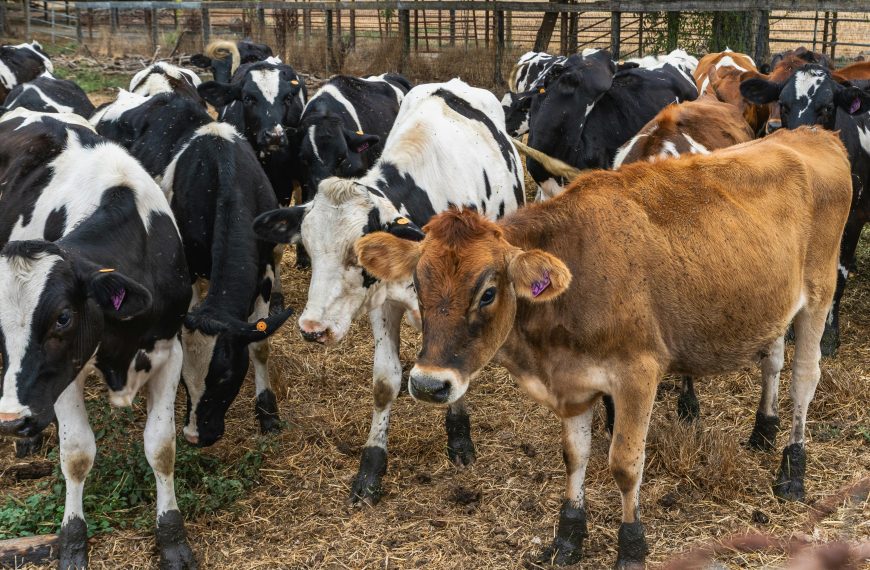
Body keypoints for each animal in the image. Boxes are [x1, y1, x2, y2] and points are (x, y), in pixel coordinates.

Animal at [0, 109, 197, 569]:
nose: (10, 419)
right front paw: (73, 539)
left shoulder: (169, 351)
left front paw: (172, 537)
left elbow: (161, 447)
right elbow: (76, 455)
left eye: (63, 318)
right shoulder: (67, 372)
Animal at [91, 90, 294, 447]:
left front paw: (267, 412)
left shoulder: (267, 266)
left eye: (225, 377)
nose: (195, 435)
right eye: (185, 380)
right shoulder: (193, 268)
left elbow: (260, 344)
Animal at [253, 78, 525, 506]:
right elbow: (385, 382)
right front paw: (371, 467)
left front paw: (459, 437)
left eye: (361, 254)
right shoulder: (383, 304)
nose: (313, 329)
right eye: (308, 247)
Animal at [354, 126, 852, 567]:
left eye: (488, 292)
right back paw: (763, 432)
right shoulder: (574, 381)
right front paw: (568, 535)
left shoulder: (638, 374)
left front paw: (632, 546)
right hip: (773, 305)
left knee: (803, 380)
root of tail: (814, 134)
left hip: (818, 295)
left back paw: (793, 472)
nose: (429, 384)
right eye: (417, 284)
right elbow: (575, 457)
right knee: (772, 360)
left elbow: (625, 465)